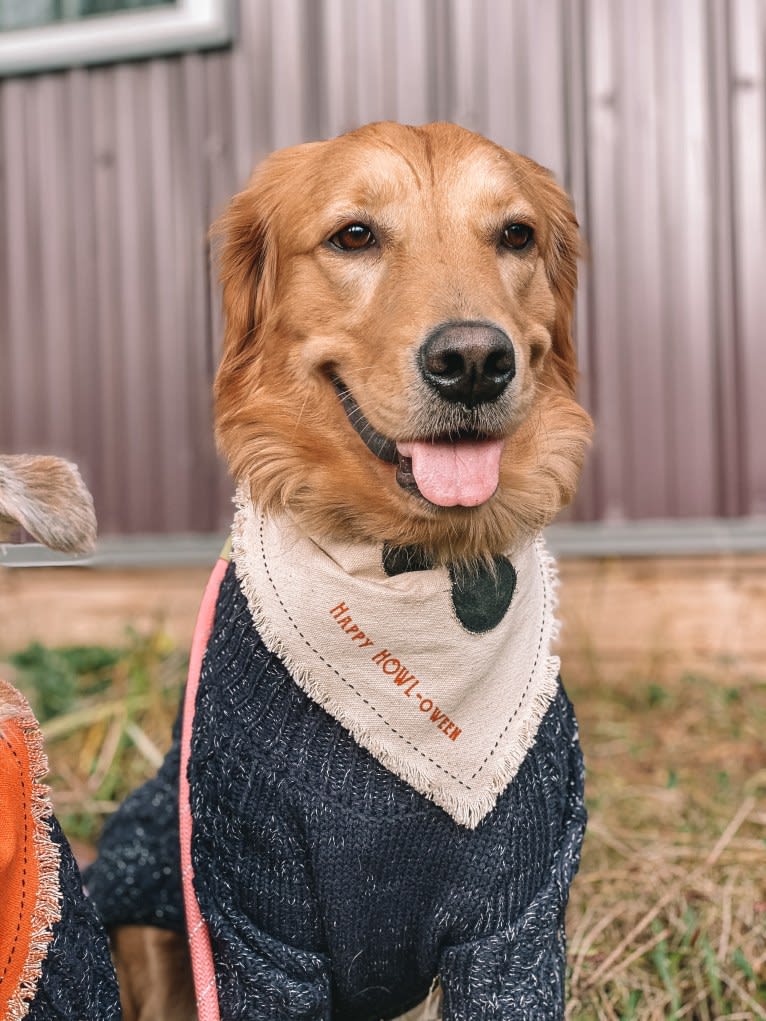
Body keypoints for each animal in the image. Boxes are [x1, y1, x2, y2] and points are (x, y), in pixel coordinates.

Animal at [89, 123, 592, 1021]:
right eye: (354, 235)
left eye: (516, 235)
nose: (474, 360)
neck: (412, 566)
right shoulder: (254, 926)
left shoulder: (516, 925)